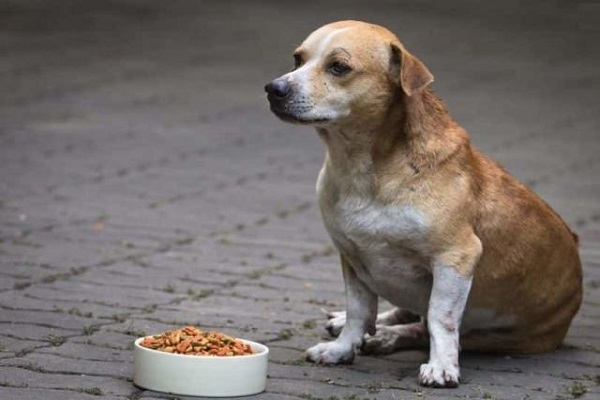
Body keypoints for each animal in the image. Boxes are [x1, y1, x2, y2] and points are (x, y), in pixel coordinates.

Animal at [264, 21, 580, 388]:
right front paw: (343, 347)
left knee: (423, 327)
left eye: (338, 67)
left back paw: (390, 336)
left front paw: (442, 366)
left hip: (498, 336)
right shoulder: (353, 256)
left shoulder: (455, 258)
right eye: (297, 59)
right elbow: (359, 311)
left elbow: (440, 319)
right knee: (398, 313)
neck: (362, 168)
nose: (274, 89)